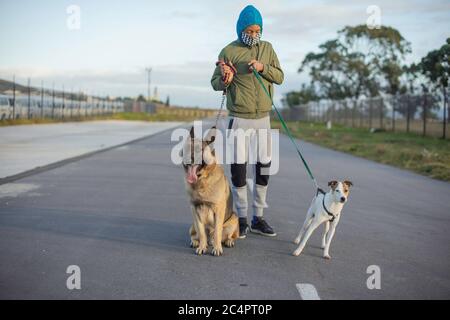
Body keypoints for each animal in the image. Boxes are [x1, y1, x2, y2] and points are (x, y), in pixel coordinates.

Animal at [182, 126, 241, 256]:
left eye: (199, 150)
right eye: (187, 149)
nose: (190, 159)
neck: (202, 181)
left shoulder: (218, 210)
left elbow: (217, 232)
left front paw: (217, 248)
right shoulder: (195, 210)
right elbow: (201, 232)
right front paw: (202, 247)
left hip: (233, 219)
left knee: (227, 236)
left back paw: (227, 241)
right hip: (193, 224)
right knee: (196, 234)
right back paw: (196, 242)